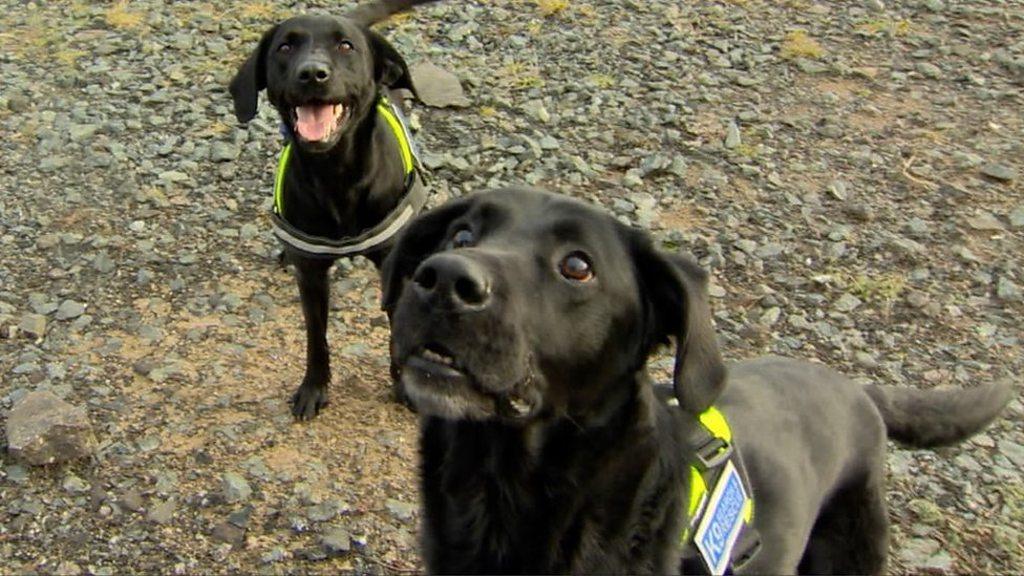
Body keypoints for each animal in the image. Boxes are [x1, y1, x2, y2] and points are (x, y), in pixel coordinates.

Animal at [230, 0, 438, 416]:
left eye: (345, 46)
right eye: (285, 47)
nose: (312, 73)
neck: (337, 175)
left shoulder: (392, 268)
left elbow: (397, 329)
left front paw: (403, 386)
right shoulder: (310, 276)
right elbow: (316, 337)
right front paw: (313, 387)